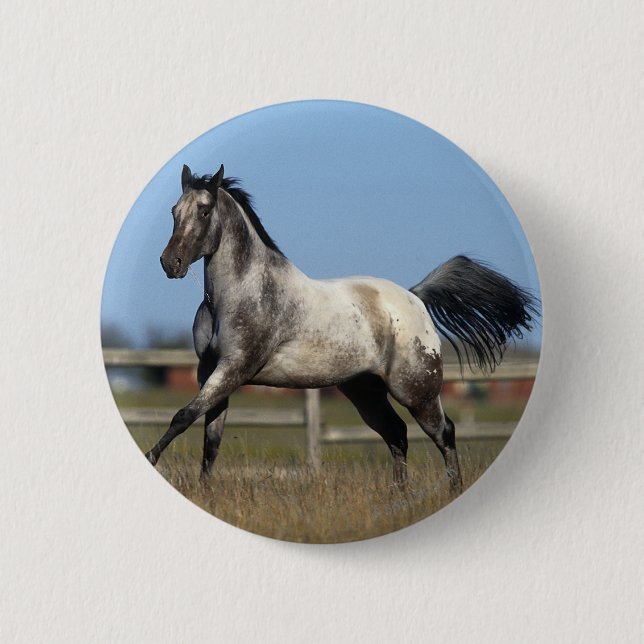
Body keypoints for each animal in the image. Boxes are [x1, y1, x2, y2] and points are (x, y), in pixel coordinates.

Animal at [145, 163, 538, 493]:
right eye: (174, 211)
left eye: (204, 210)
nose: (169, 263)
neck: (240, 293)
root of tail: (415, 297)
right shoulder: (210, 370)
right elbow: (210, 439)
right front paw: (205, 493)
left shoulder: (234, 368)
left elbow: (183, 416)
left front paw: (151, 459)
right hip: (364, 391)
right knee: (397, 434)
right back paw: (398, 498)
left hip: (416, 390)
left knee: (444, 433)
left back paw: (451, 491)